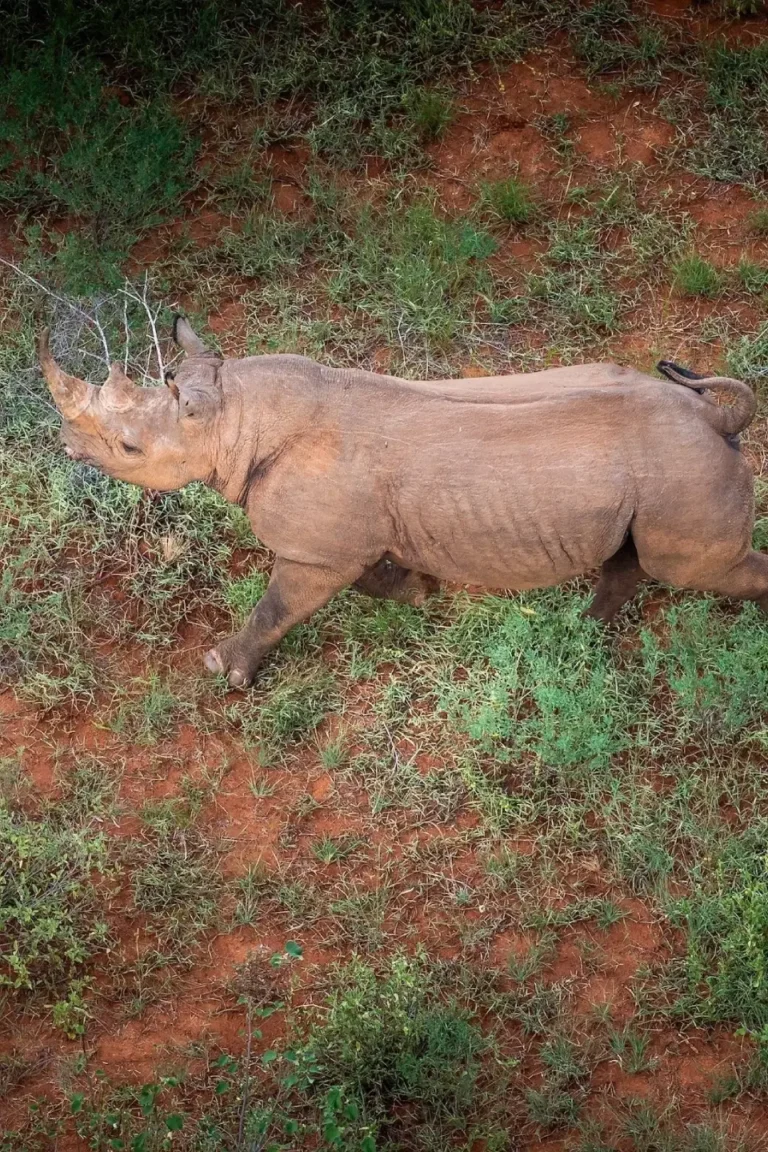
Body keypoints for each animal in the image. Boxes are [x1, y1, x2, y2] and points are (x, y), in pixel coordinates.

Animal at [39, 318, 761, 688]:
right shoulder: (339, 540)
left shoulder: (316, 552)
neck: (234, 416)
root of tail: (715, 419)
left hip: (682, 470)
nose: (66, 445)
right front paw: (419, 591)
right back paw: (581, 631)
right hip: (663, 473)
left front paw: (226, 669)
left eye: (129, 448)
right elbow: (367, 575)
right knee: (635, 557)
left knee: (693, 568)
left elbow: (278, 608)